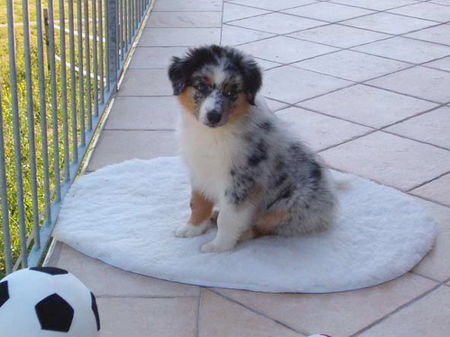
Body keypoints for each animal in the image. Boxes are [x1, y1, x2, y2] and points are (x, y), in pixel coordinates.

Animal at [167, 44, 336, 251]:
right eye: (201, 86)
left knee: (265, 226)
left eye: (231, 91)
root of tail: (330, 207)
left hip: (290, 203)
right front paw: (192, 228)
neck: (213, 134)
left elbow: (228, 218)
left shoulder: (241, 180)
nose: (213, 116)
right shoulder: (199, 170)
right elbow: (197, 202)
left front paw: (218, 247)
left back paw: (242, 233)